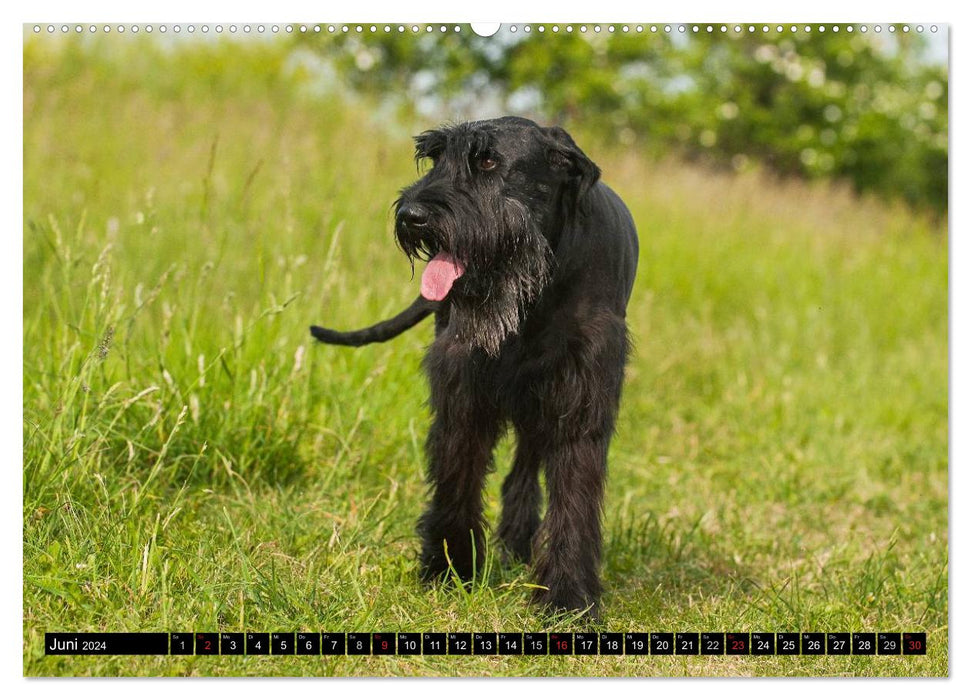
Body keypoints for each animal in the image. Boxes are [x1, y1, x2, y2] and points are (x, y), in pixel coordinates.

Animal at [312, 116, 636, 616]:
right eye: (435, 157)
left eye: (487, 161)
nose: (411, 216)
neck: (536, 288)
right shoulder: (462, 387)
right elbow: (457, 475)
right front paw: (448, 569)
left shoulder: (581, 398)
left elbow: (574, 495)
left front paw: (567, 598)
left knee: (526, 468)